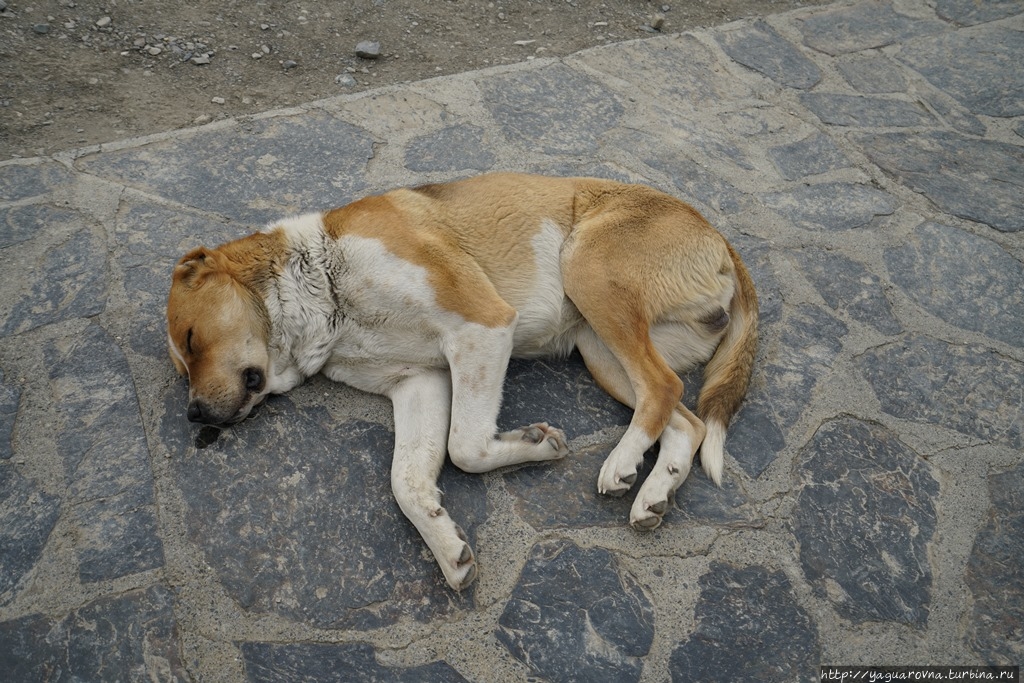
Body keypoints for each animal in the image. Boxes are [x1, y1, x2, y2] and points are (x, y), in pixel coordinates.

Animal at [167, 172, 757, 593]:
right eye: (182, 366)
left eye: (192, 339)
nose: (193, 415)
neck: (322, 287)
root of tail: (717, 235)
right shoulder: (419, 381)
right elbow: (408, 480)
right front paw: (446, 546)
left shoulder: (482, 326)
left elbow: (466, 447)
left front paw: (536, 446)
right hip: (599, 351)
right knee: (685, 418)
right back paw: (654, 492)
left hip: (588, 271)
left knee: (663, 389)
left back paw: (621, 463)